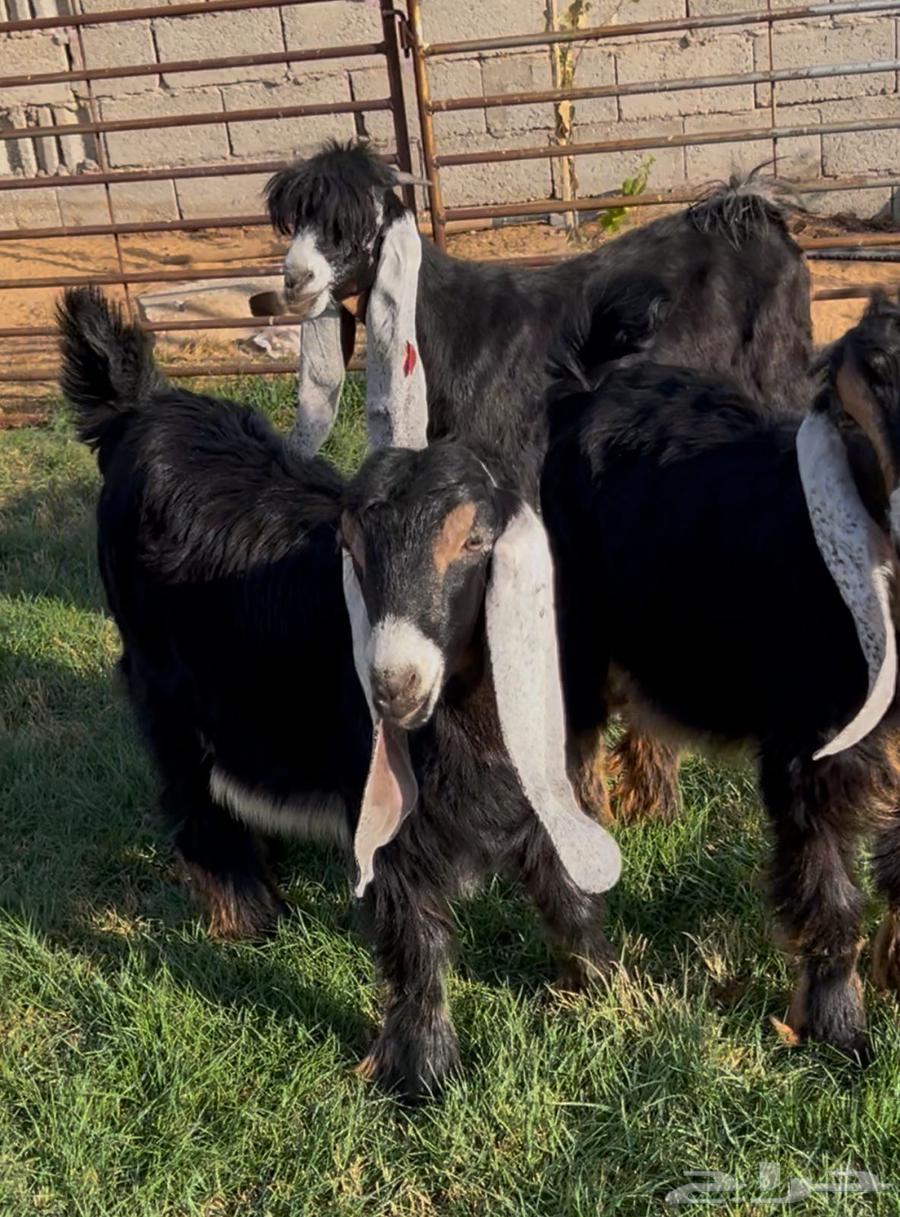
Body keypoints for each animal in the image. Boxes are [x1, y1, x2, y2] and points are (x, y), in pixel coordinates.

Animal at [59, 286, 620, 1102]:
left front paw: (608, 992)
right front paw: (424, 1078)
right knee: (189, 789)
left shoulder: (530, 781)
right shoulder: (388, 807)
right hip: (159, 678)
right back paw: (244, 905)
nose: (392, 683)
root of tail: (140, 407)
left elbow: (565, 887)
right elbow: (416, 941)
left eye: (475, 541)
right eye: (349, 547)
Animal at [542, 293, 900, 1060]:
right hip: (574, 631)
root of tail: (590, 386)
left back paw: (653, 808)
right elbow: (829, 889)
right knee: (572, 754)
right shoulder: (809, 748)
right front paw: (838, 1031)